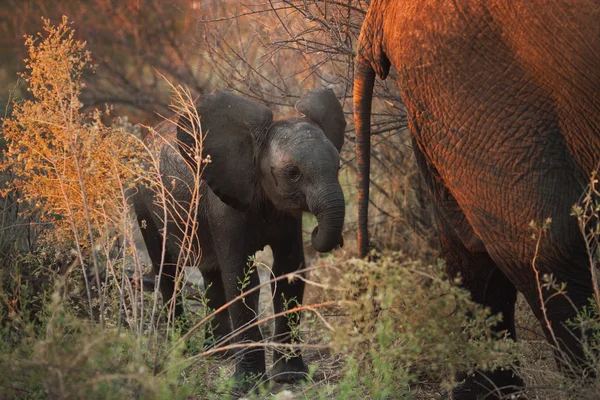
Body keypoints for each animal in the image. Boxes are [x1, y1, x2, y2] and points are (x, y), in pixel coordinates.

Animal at [133, 89, 344, 390]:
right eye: (293, 173)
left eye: (338, 167)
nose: (316, 232)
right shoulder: (225, 206)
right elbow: (243, 279)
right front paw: (248, 386)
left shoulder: (285, 213)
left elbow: (287, 273)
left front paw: (290, 377)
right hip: (142, 200)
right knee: (168, 270)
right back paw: (183, 351)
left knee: (210, 271)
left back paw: (219, 351)